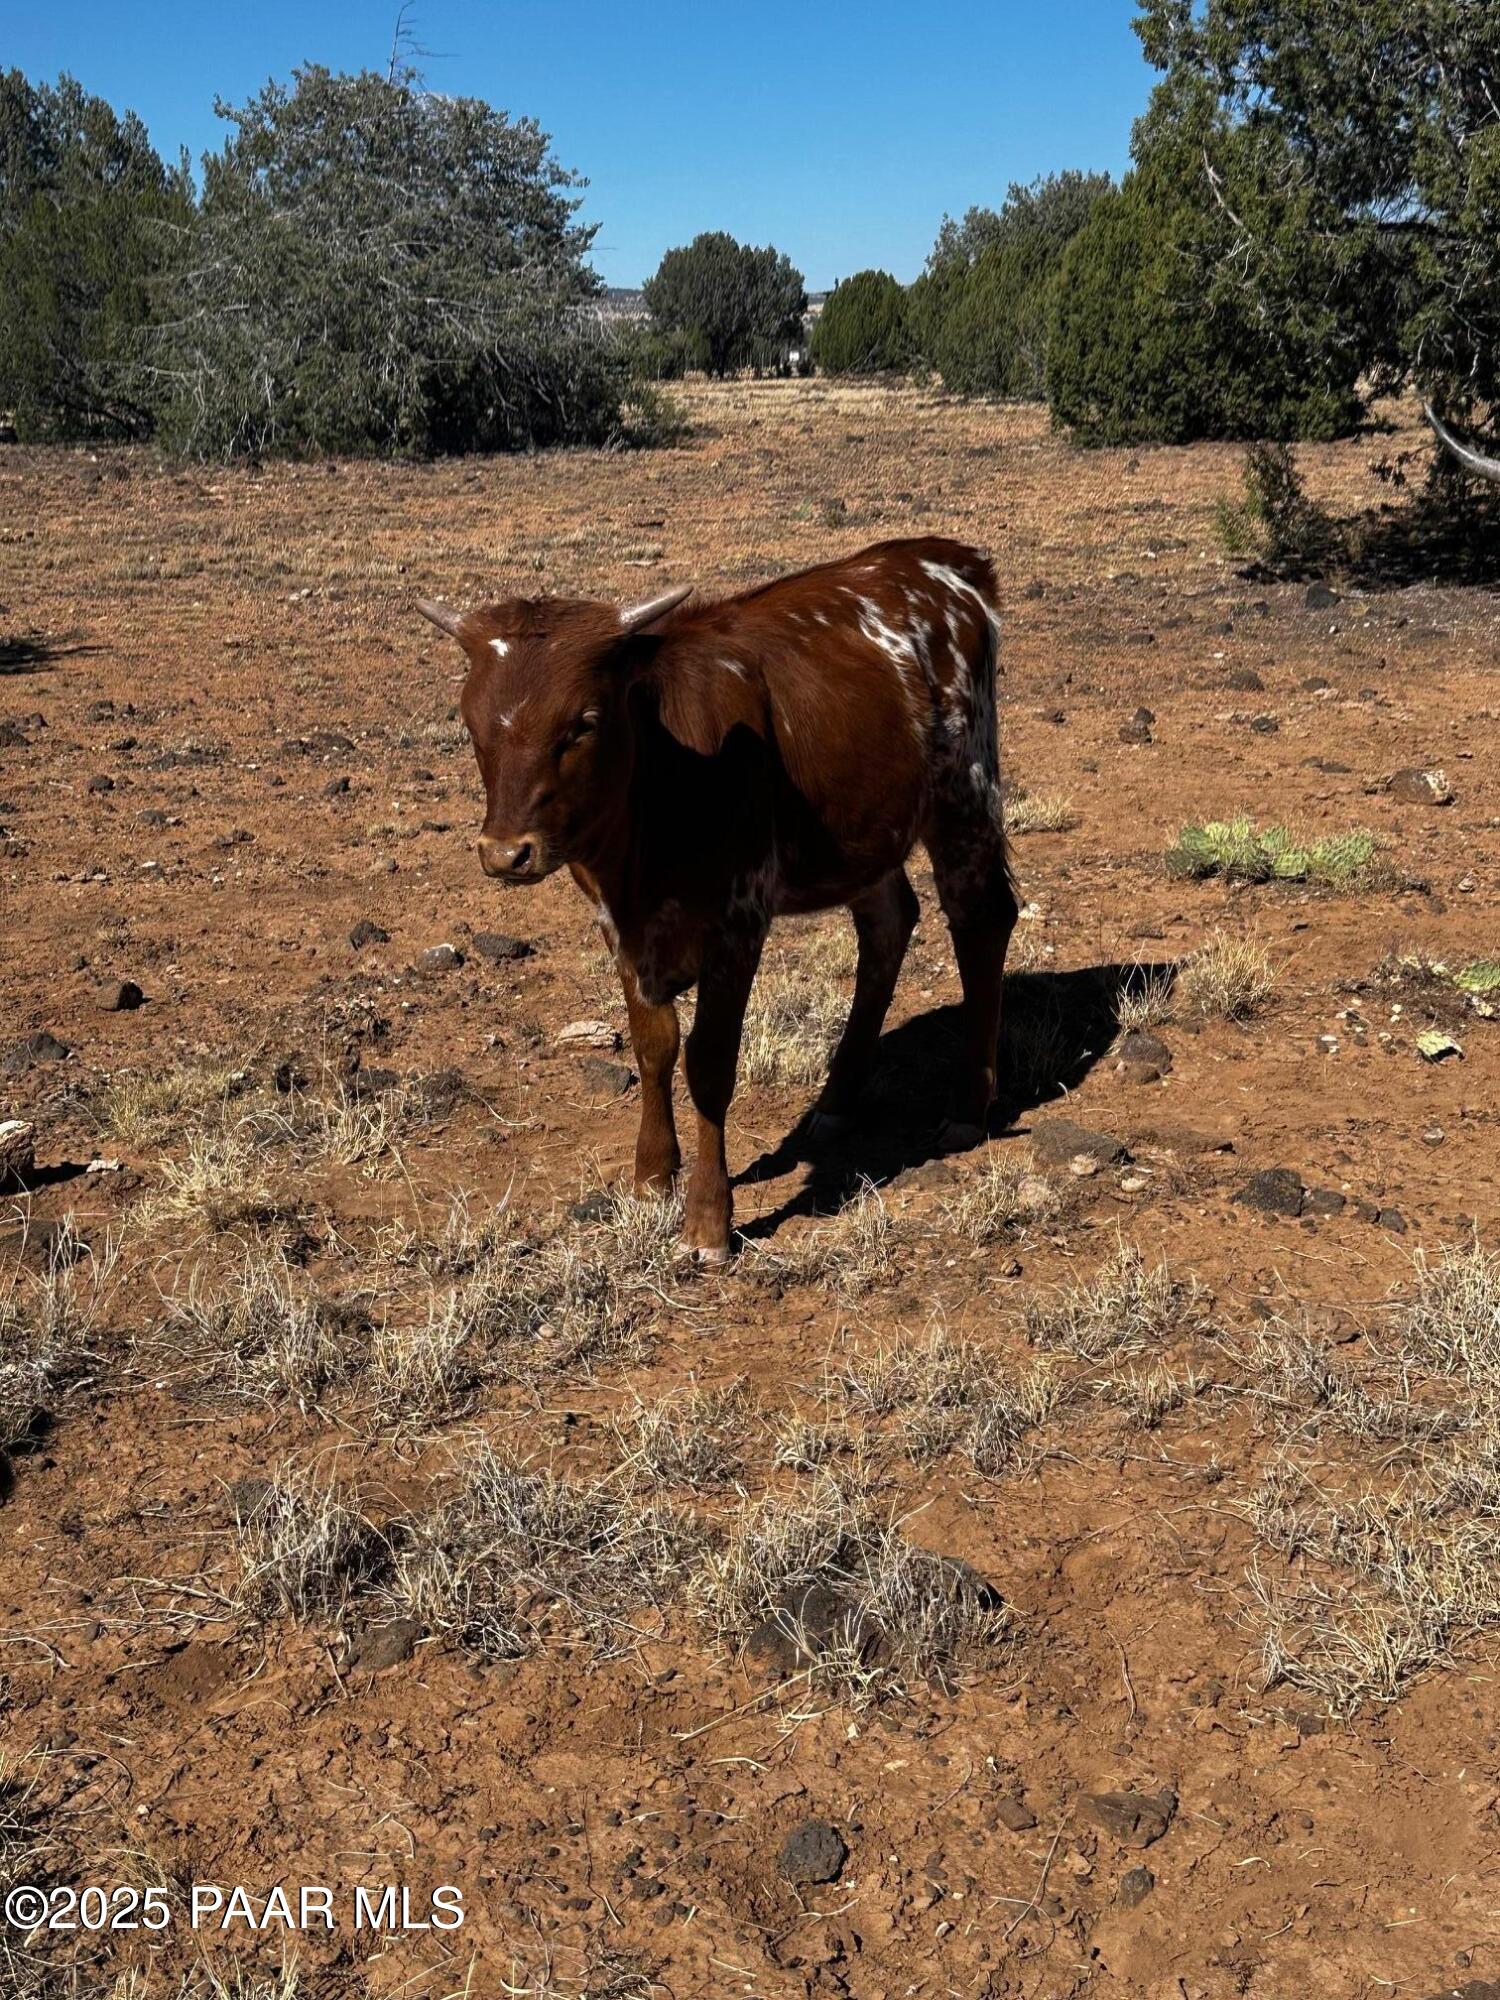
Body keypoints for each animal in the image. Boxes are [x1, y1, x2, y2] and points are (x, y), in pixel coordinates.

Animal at [416, 537, 1018, 1264]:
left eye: (582, 723)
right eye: (470, 722)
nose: (507, 854)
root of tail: (939, 559)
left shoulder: (738, 919)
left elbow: (708, 1061)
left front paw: (708, 1218)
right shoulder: (619, 924)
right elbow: (653, 1044)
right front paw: (653, 1177)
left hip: (965, 790)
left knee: (981, 917)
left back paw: (968, 1105)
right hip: (866, 827)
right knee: (889, 925)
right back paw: (837, 1098)